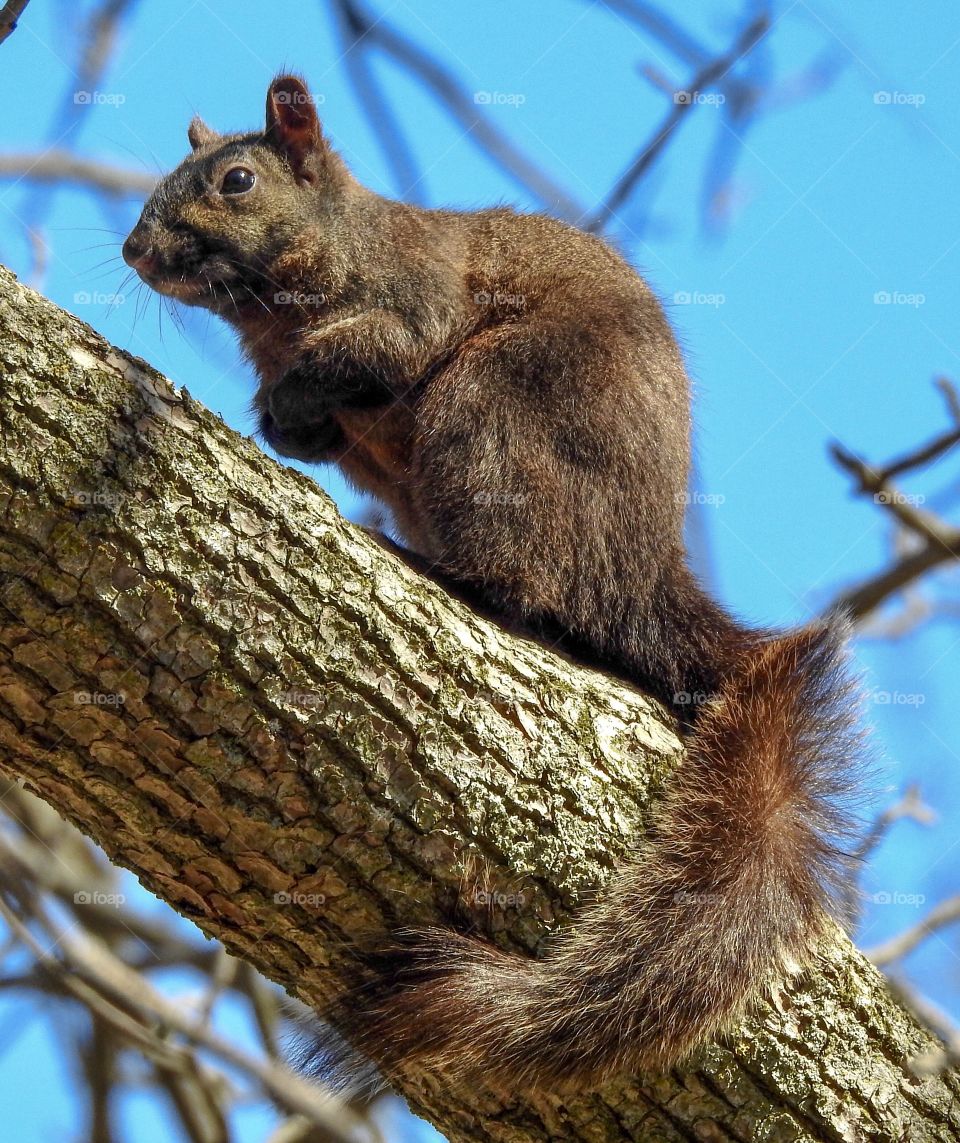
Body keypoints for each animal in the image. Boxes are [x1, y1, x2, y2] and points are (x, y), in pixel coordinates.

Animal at [123, 74, 863, 1088]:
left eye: (237, 180)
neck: (275, 309)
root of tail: (638, 573)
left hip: (492, 411)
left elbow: (386, 346)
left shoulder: (411, 294)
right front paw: (287, 422)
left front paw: (301, 392)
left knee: (520, 582)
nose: (135, 251)